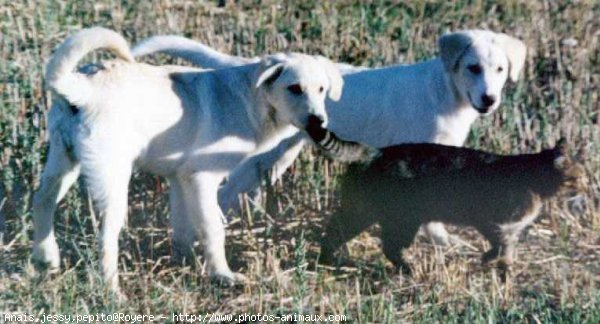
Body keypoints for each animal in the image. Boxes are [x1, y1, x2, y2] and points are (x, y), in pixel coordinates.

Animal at [34, 27, 342, 294]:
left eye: (322, 90)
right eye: (294, 88)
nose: (319, 123)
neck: (249, 99)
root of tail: (81, 87)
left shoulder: (180, 179)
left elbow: (182, 229)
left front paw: (186, 265)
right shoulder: (202, 179)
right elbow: (213, 229)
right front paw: (223, 275)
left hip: (64, 163)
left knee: (41, 201)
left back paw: (47, 259)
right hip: (112, 179)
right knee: (105, 236)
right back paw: (112, 291)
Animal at [308, 116, 584, 274]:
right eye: (577, 178)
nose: (586, 188)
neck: (533, 179)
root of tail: (376, 151)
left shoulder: (511, 230)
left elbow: (507, 251)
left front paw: (504, 273)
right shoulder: (489, 221)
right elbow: (499, 246)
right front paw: (487, 260)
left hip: (365, 212)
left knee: (337, 230)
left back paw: (327, 260)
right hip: (400, 218)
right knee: (386, 245)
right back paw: (408, 269)